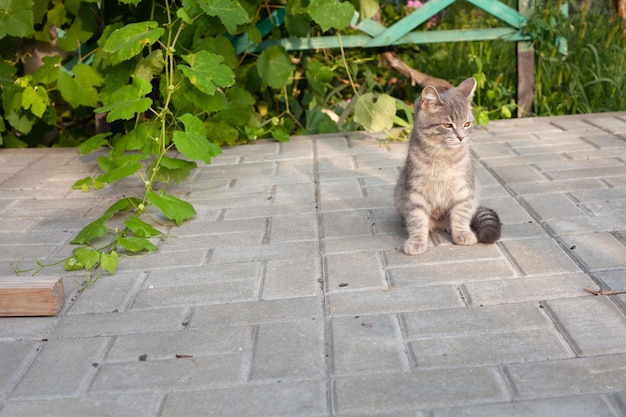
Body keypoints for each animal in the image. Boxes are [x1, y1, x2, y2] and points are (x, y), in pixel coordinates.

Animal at [394, 76, 498, 255]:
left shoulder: (464, 189)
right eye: (448, 125)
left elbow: (461, 214)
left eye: (467, 124)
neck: (442, 156)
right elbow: (416, 218)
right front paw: (417, 241)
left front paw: (462, 233)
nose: (461, 138)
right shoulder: (415, 191)